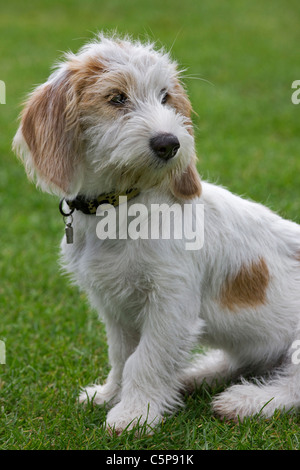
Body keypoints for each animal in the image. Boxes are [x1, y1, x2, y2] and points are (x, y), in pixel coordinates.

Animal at [12, 33, 300, 434]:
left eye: (166, 98)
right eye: (117, 98)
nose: (169, 143)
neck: (120, 206)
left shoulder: (171, 303)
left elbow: (146, 358)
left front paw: (134, 414)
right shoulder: (115, 306)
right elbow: (122, 355)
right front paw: (110, 395)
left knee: (292, 385)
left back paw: (247, 401)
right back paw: (197, 375)